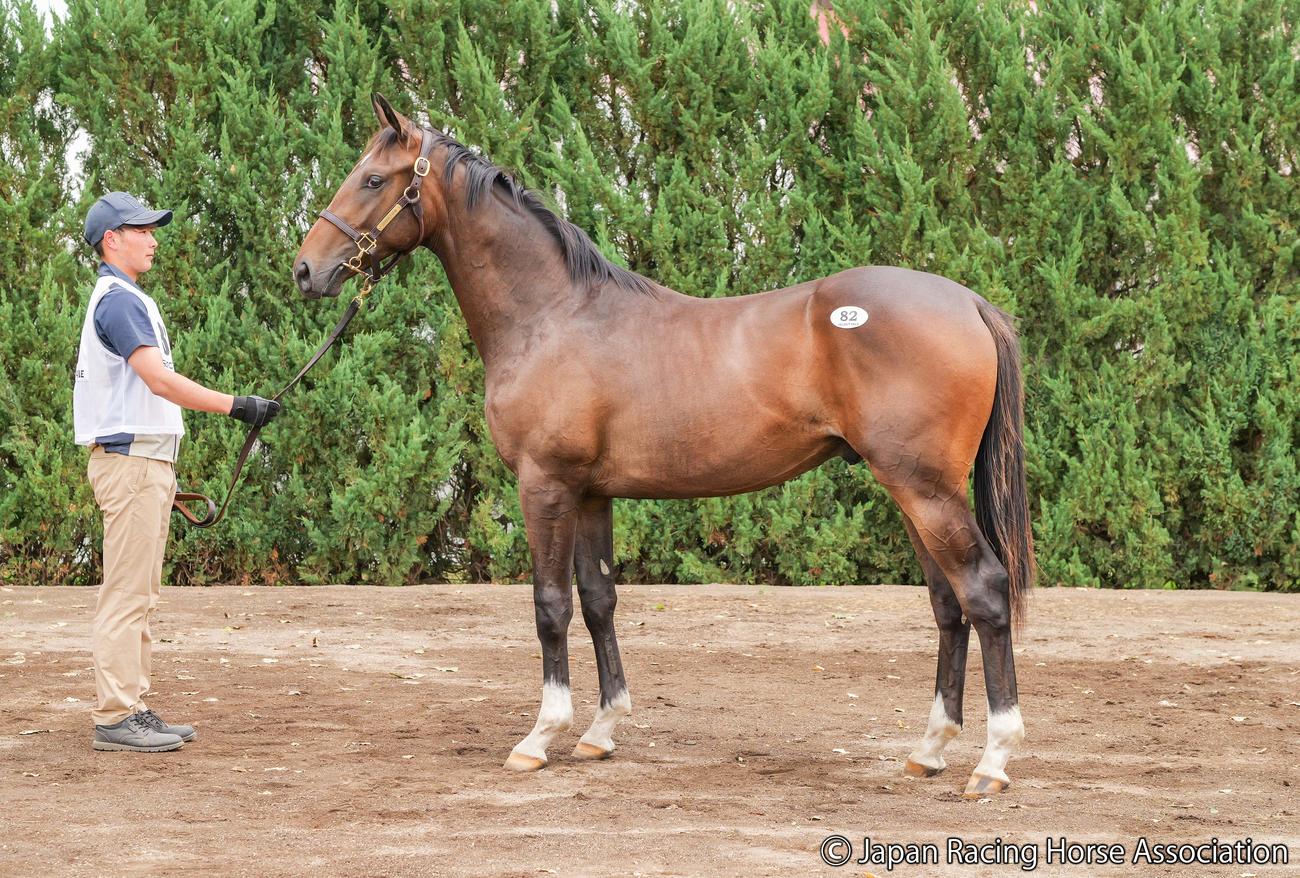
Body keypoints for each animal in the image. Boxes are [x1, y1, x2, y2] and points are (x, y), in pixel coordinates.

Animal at [293, 94, 1036, 798]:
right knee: (947, 606)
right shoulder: (591, 493)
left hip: (923, 488)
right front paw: (600, 731)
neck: (552, 316)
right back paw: (929, 750)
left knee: (983, 591)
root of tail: (969, 303)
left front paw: (540, 737)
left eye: (373, 179)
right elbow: (599, 600)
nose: (305, 271)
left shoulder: (545, 484)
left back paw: (992, 762)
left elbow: (550, 606)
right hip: (914, 492)